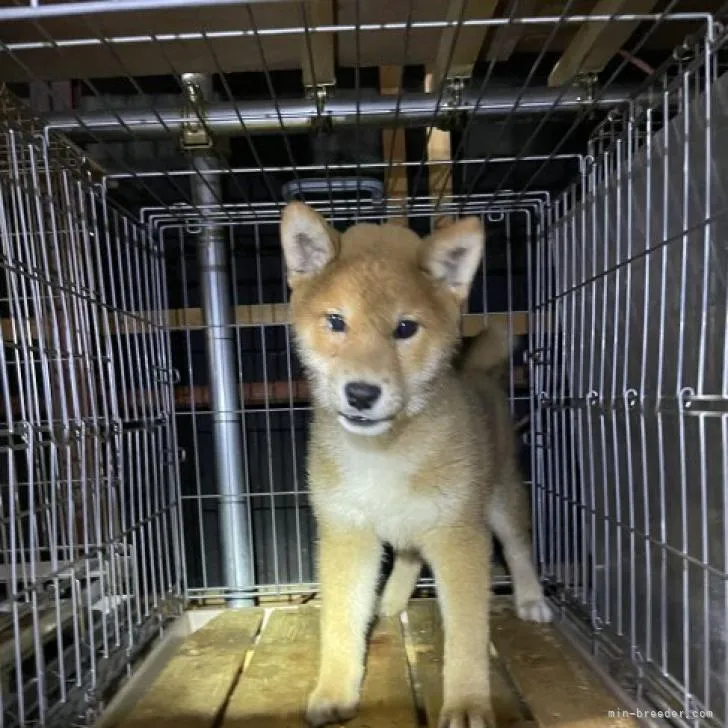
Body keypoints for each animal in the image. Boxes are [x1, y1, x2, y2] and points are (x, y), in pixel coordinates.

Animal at [278, 202, 552, 728]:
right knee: (407, 553)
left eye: (405, 328)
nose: (361, 393)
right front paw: (335, 690)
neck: (383, 453)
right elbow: (339, 621)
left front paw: (467, 703)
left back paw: (532, 600)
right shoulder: (346, 530)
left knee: (519, 548)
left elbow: (466, 635)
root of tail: (476, 373)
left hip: (501, 497)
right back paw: (388, 600)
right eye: (336, 321)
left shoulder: (459, 534)